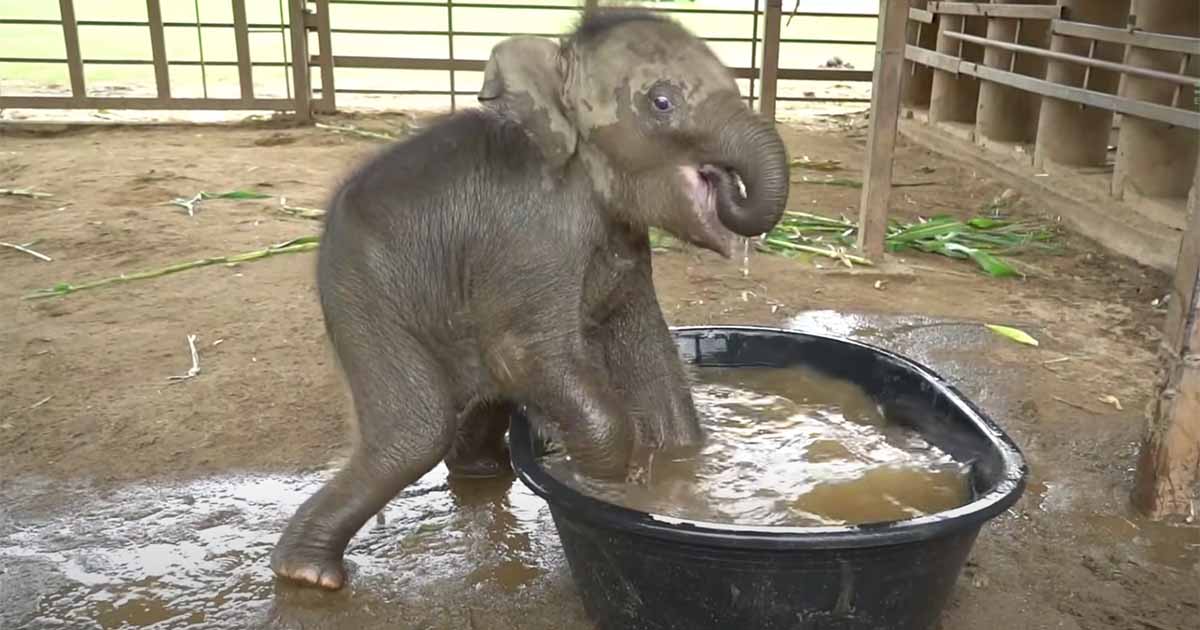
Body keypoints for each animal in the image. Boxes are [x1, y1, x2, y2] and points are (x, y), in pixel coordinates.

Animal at [274, 8, 792, 590]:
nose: (726, 180)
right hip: (363, 289)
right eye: (662, 102)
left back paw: (480, 471)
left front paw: (671, 471)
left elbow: (648, 349)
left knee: (478, 397)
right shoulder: (533, 234)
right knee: (414, 431)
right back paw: (307, 574)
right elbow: (523, 353)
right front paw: (605, 491)